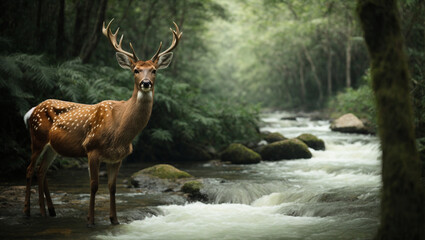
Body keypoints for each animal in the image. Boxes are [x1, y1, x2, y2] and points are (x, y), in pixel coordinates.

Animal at [22, 19, 182, 227]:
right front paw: (90, 220)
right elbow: (94, 186)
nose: (146, 83)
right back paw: (27, 211)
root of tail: (32, 110)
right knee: (30, 169)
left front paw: (114, 220)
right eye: (136, 70)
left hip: (52, 147)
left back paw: (47, 211)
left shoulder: (117, 158)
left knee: (42, 172)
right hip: (37, 137)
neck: (120, 131)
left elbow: (112, 188)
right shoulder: (92, 148)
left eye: (154, 70)